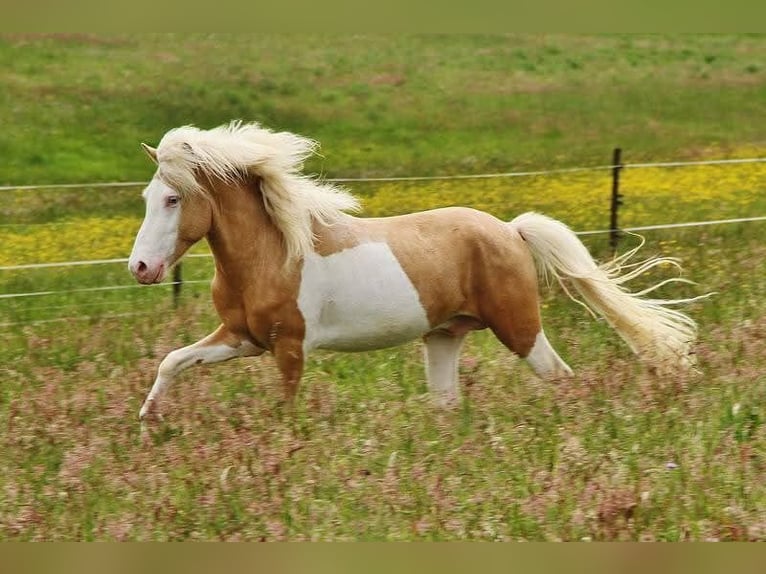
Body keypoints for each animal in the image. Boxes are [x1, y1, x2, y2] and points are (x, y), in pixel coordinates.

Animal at [128, 121, 699, 421]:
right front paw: (147, 422)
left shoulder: (289, 347)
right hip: (444, 337)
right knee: (447, 405)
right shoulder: (241, 337)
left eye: (174, 199)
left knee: (561, 378)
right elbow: (173, 361)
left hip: (519, 328)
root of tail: (511, 231)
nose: (141, 268)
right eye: (148, 197)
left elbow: (286, 409)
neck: (273, 254)